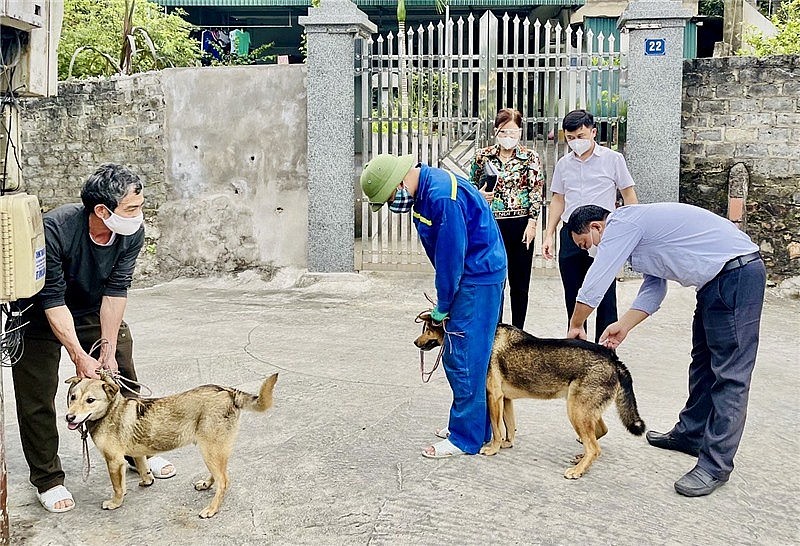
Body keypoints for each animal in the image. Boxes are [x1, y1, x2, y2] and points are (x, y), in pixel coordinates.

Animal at [65, 372, 278, 516]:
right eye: (72, 397)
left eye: (90, 400)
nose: (69, 417)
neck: (110, 411)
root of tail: (228, 392)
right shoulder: (136, 452)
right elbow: (142, 467)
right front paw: (146, 480)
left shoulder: (114, 461)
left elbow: (117, 486)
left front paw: (115, 502)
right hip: (213, 450)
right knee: (220, 476)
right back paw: (206, 484)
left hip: (209, 450)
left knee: (224, 481)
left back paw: (212, 508)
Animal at [412, 310, 644, 476]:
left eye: (428, 328)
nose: (415, 342)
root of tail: (613, 359)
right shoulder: (505, 400)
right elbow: (509, 427)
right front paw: (506, 444)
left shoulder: (494, 397)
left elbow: (496, 428)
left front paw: (493, 448)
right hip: (583, 411)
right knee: (599, 434)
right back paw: (581, 459)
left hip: (576, 411)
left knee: (595, 447)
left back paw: (577, 471)